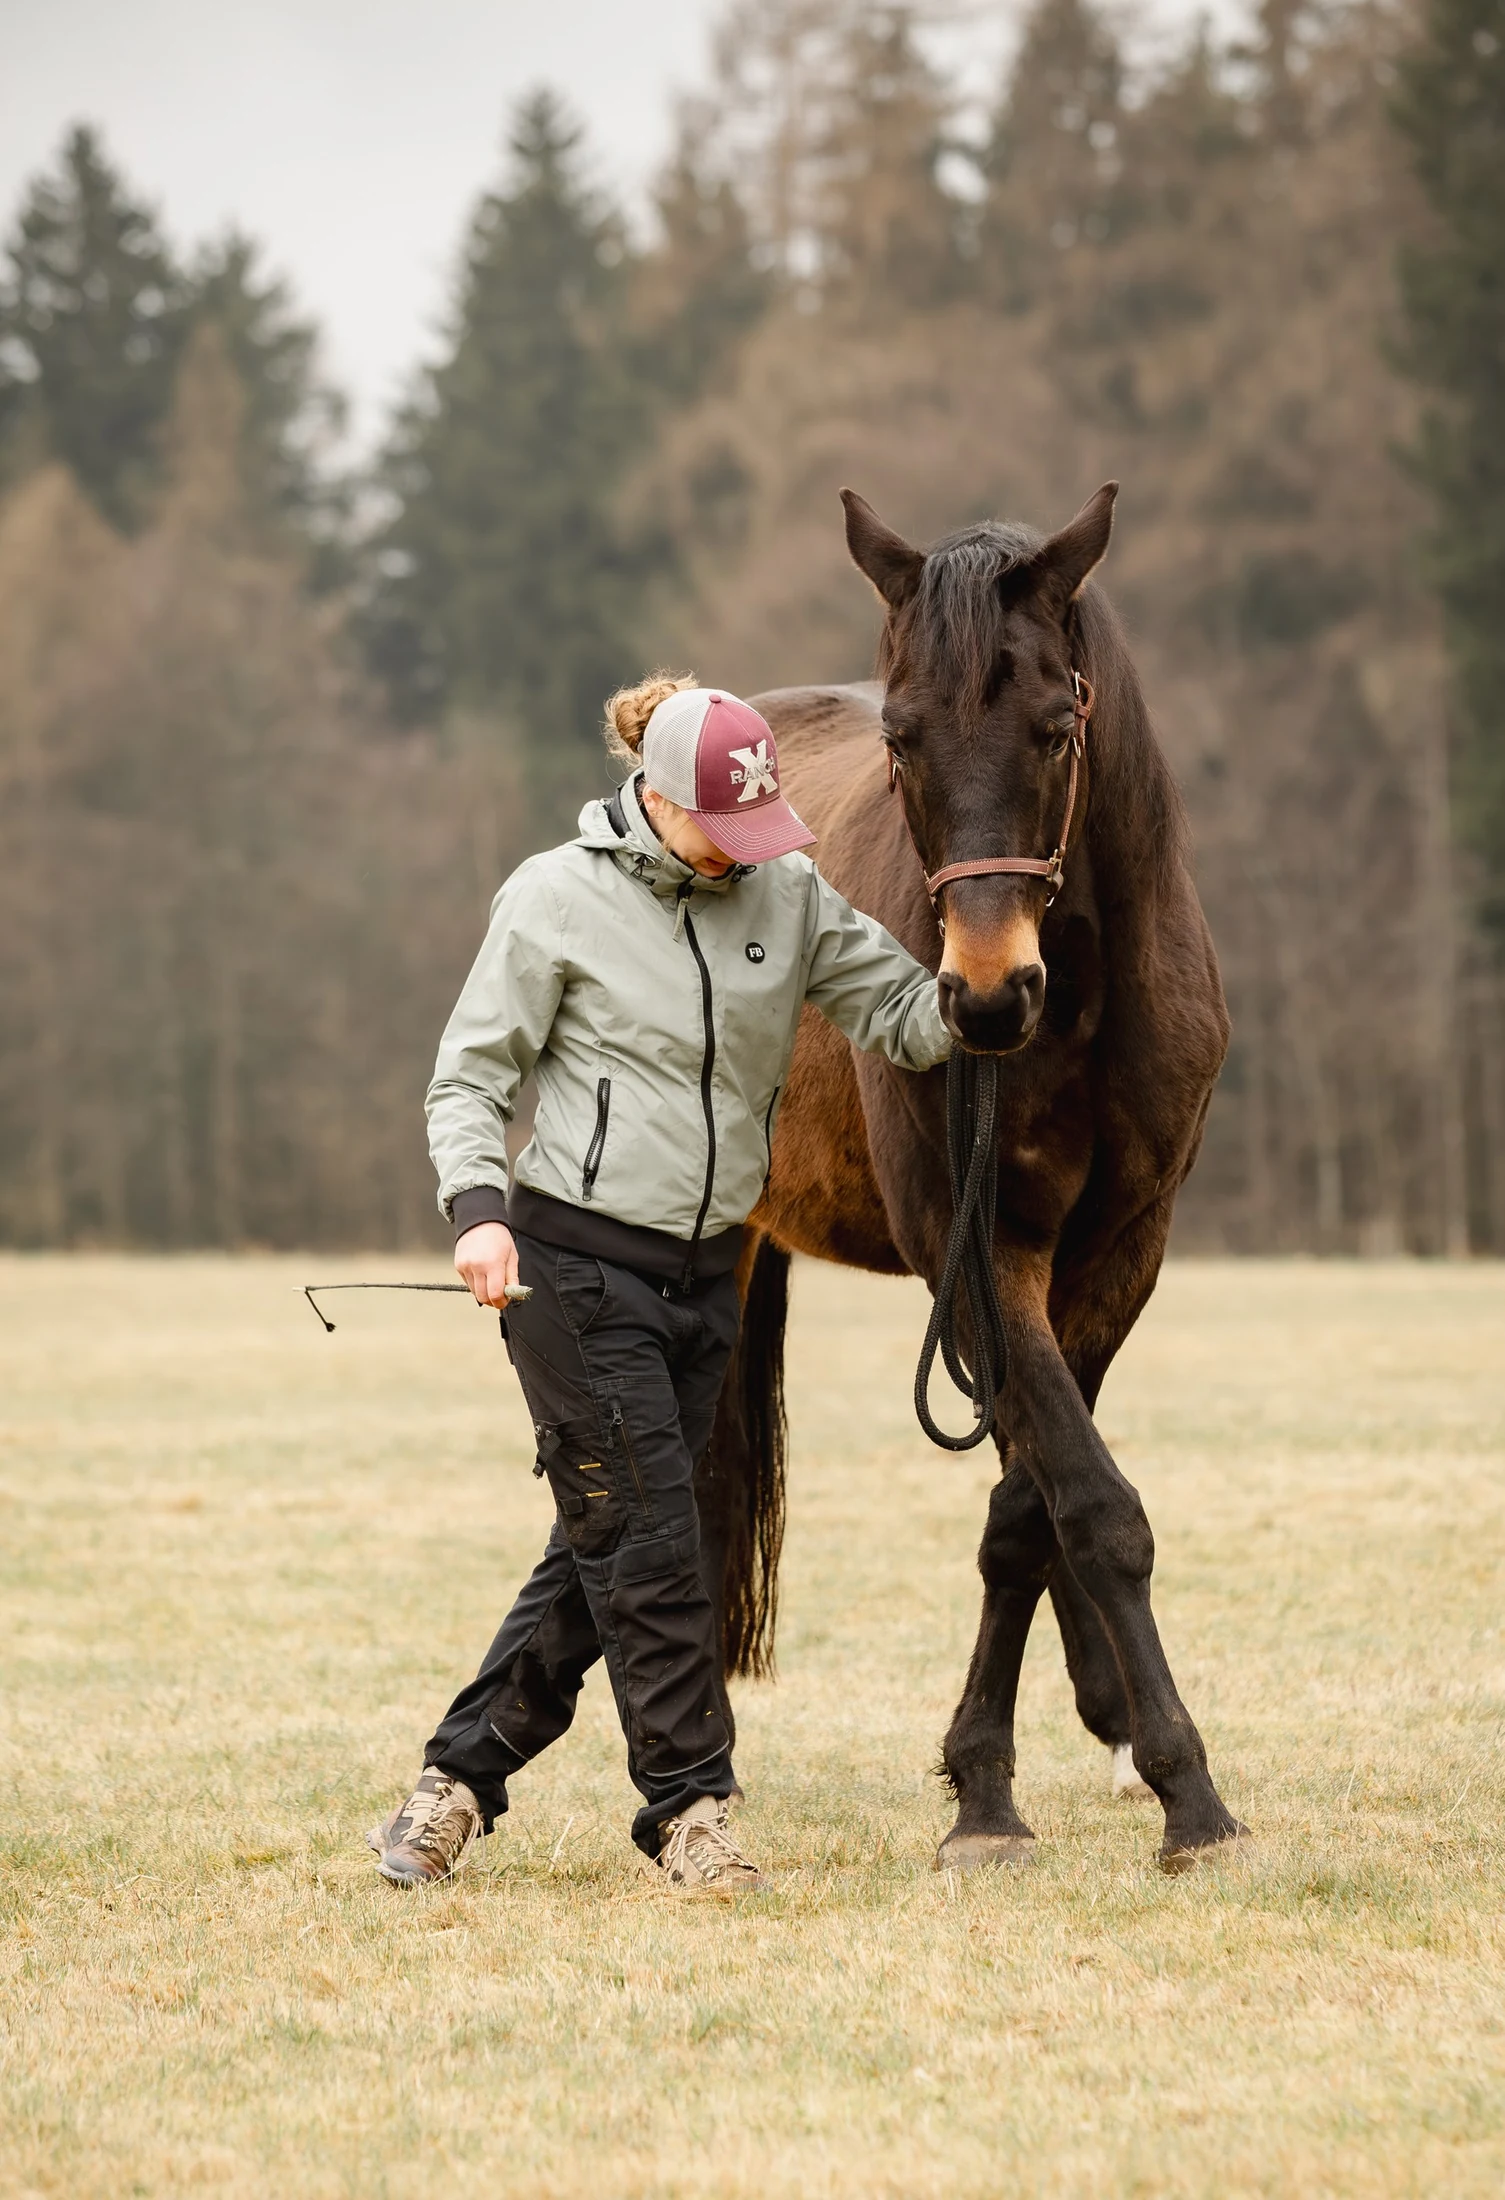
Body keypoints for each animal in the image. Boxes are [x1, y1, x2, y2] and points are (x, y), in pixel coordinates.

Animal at [696, 481, 1248, 1872]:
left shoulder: (1114, 1254)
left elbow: (1032, 1509)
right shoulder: (986, 1248)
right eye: (900, 738)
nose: (986, 995)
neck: (1082, 1004)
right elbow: (1087, 1500)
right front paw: (1165, 1793)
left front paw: (1018, 1774)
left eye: (1055, 725)